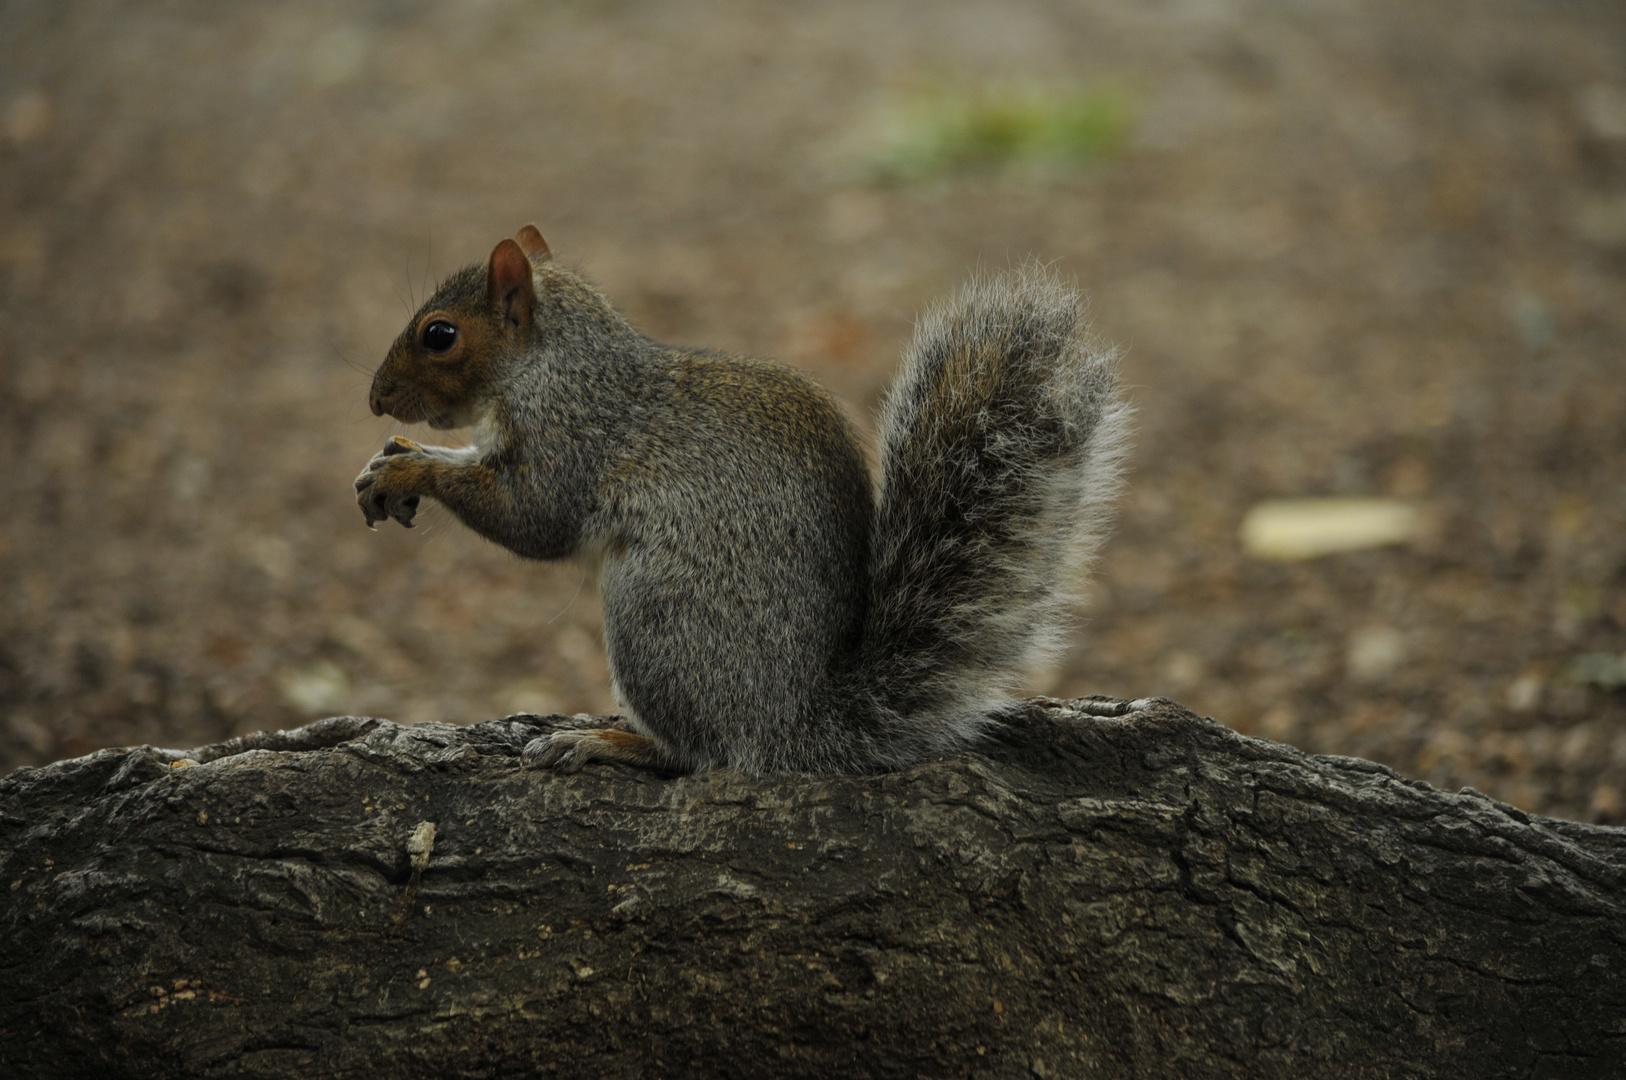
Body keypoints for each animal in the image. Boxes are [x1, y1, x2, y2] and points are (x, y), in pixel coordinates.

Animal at [356, 222, 1131, 777]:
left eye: (439, 335)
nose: (375, 399)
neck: (552, 365)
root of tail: (794, 721)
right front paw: (393, 461)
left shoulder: (571, 439)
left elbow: (531, 518)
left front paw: (412, 472)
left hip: (656, 620)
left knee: (704, 753)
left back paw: (608, 742)